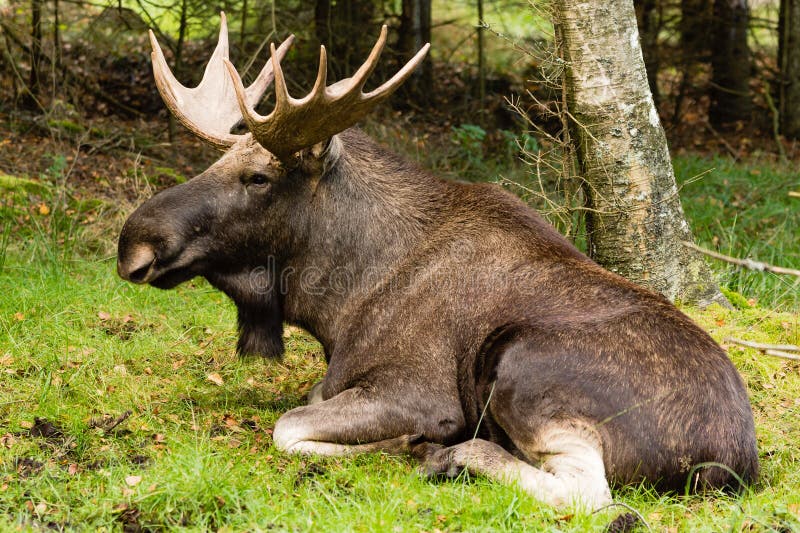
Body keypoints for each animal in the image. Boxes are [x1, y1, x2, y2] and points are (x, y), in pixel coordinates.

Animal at [117, 13, 758, 510]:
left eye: (258, 177)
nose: (135, 244)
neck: (337, 301)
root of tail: (729, 462)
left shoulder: (416, 390)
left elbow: (287, 426)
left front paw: (405, 443)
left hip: (522, 367)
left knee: (585, 493)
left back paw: (451, 454)